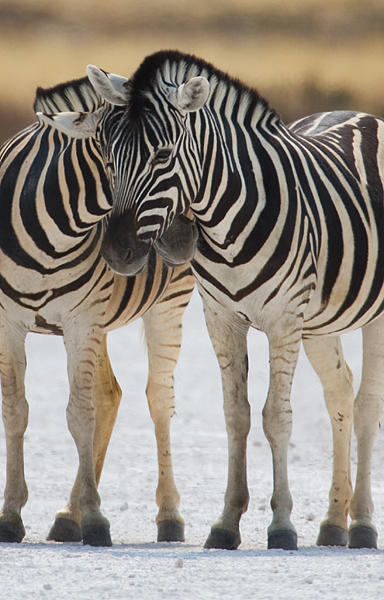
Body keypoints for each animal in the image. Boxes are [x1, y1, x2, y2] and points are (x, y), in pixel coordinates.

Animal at [0, 72, 195, 548]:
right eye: (110, 160)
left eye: (171, 157)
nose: (185, 240)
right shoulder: (9, 321)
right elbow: (16, 410)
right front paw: (10, 514)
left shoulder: (81, 320)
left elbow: (79, 414)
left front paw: (93, 517)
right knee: (111, 394)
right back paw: (67, 516)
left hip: (167, 304)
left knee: (158, 399)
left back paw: (168, 515)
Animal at [43, 52, 384, 552]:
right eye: (107, 156)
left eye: (163, 156)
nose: (117, 252)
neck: (228, 222)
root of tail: (361, 114)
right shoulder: (223, 318)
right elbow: (236, 415)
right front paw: (226, 523)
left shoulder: (283, 320)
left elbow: (276, 417)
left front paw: (281, 525)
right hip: (321, 320)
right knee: (339, 392)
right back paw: (333, 523)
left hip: (372, 315)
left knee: (366, 406)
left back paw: (361, 524)